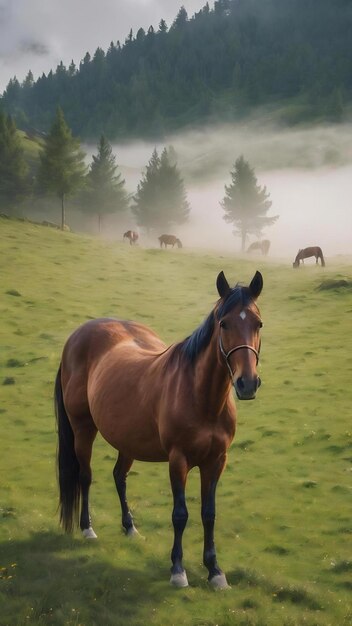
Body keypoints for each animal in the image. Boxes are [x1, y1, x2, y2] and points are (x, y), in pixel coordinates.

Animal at [54, 268, 264, 584]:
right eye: (224, 323)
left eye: (258, 323)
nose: (247, 383)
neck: (201, 398)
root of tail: (78, 335)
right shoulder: (178, 460)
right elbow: (180, 514)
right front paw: (178, 569)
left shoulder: (216, 461)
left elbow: (209, 513)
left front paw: (214, 570)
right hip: (83, 429)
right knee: (85, 476)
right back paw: (87, 528)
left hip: (127, 440)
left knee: (119, 477)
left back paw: (129, 527)